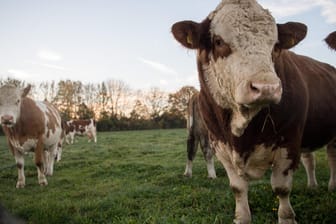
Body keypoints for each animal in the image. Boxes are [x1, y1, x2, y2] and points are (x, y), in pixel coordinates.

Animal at [172, 0, 336, 223]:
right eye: (218, 41)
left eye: (276, 46)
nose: (267, 87)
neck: (242, 131)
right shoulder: (221, 146)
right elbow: (238, 189)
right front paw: (241, 217)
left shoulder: (289, 143)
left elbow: (282, 189)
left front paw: (287, 217)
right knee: (310, 159)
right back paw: (313, 186)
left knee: (331, 157)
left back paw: (332, 186)